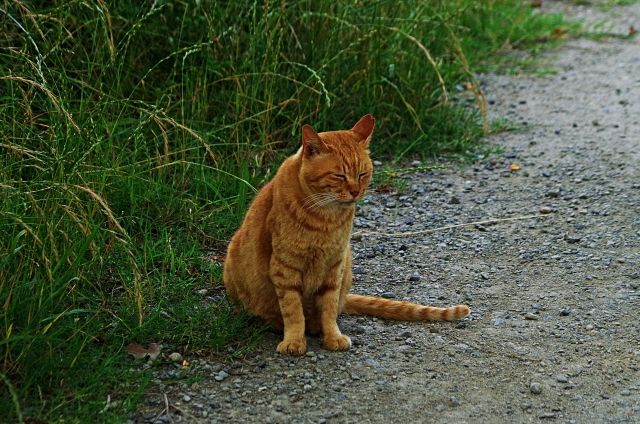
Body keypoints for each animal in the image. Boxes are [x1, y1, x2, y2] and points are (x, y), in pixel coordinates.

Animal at [222, 115, 468, 354]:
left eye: (362, 174)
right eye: (340, 175)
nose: (355, 191)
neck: (326, 218)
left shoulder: (334, 265)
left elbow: (329, 308)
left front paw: (332, 336)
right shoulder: (285, 268)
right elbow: (293, 310)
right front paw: (294, 340)